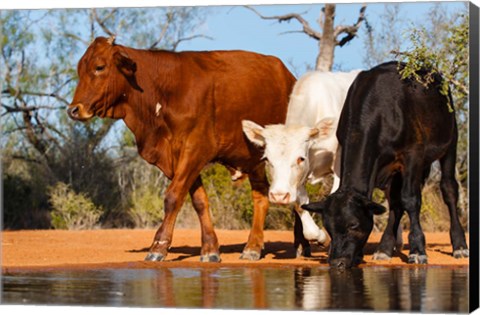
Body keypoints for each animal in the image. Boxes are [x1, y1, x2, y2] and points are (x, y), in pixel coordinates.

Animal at [67, 36, 296, 262]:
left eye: (99, 67)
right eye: (80, 69)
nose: (73, 110)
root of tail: (288, 76)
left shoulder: (195, 149)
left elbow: (172, 197)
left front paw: (158, 247)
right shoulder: (175, 158)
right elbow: (199, 200)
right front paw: (210, 248)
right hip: (254, 159)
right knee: (260, 195)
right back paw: (253, 247)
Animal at [244, 69, 360, 256]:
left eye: (300, 158)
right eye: (267, 159)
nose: (278, 195)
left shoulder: (339, 168)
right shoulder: (297, 181)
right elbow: (301, 206)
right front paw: (320, 237)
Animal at [304, 61, 468, 270]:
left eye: (353, 225)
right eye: (329, 228)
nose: (337, 262)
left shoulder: (412, 154)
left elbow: (410, 200)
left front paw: (417, 250)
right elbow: (395, 203)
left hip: (450, 142)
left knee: (448, 189)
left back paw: (459, 245)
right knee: (395, 204)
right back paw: (384, 248)